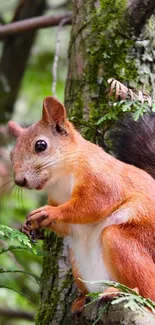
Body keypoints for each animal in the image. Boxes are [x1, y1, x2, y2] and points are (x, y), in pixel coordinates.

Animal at [7, 95, 155, 312]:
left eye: (40, 145)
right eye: (11, 155)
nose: (19, 181)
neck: (60, 179)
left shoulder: (102, 178)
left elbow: (94, 204)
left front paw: (49, 213)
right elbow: (67, 226)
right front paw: (33, 226)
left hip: (128, 242)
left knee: (150, 293)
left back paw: (122, 292)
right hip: (77, 263)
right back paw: (81, 300)